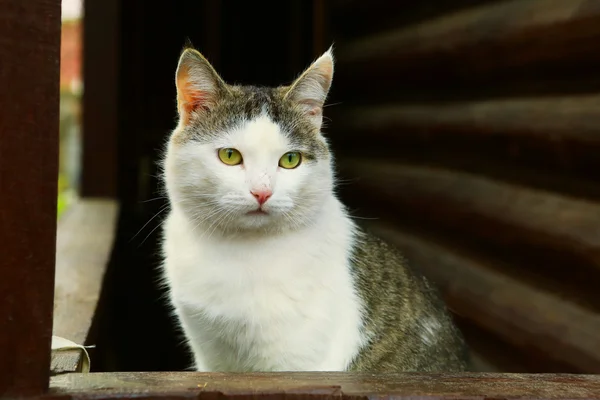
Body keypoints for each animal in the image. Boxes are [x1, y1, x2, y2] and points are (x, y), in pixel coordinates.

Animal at [159, 46, 468, 372]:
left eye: (290, 159)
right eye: (230, 155)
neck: (240, 251)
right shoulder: (211, 357)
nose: (262, 192)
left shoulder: (298, 365)